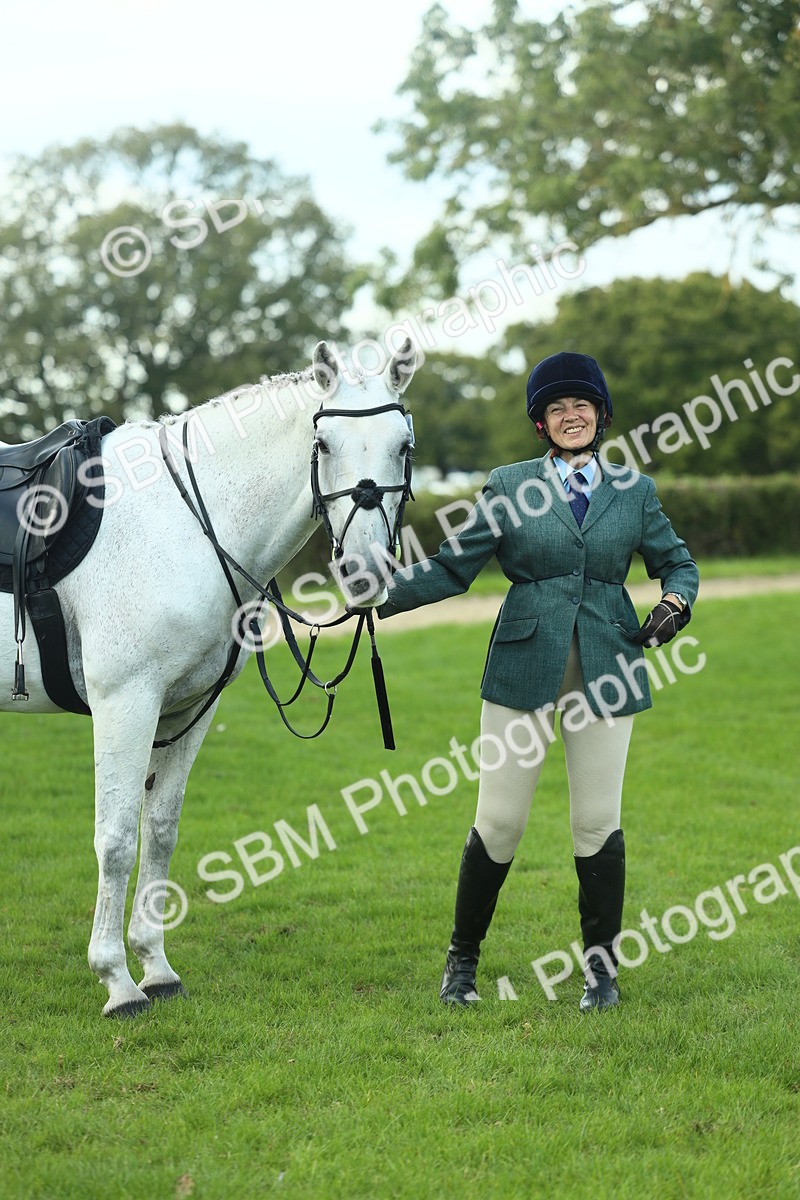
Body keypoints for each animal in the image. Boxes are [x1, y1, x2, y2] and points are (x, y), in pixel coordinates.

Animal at [0, 338, 417, 1016]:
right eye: (323, 444)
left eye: (403, 445)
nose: (364, 571)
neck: (184, 520)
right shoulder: (126, 702)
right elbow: (117, 839)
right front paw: (117, 982)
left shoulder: (187, 709)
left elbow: (160, 832)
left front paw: (155, 967)